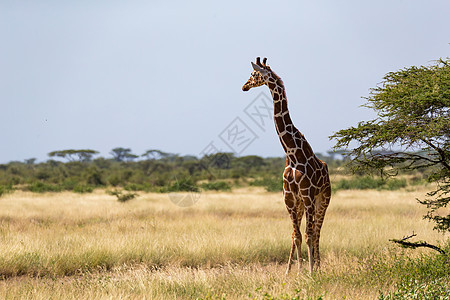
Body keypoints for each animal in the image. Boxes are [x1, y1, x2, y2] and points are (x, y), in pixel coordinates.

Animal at [243, 56, 330, 274]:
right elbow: (296, 236)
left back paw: (318, 267)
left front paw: (310, 273)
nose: (244, 86)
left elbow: (308, 235)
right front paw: (295, 272)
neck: (292, 153)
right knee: (300, 233)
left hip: (323, 199)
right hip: (301, 204)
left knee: (317, 232)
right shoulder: (289, 198)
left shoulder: (307, 195)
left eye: (253, 74)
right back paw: (295, 269)